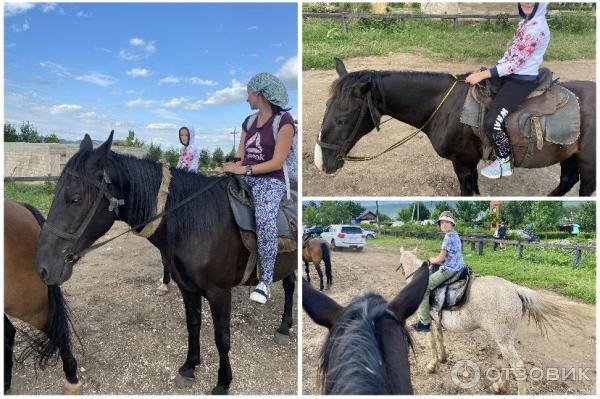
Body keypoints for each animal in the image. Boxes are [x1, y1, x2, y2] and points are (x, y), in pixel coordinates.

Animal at [34, 133, 296, 396]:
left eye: (75, 198)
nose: (42, 267)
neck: (197, 222)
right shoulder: (187, 287)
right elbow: (193, 324)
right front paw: (189, 366)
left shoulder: (219, 292)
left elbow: (222, 338)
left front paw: (223, 382)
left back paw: (284, 327)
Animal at [314, 59, 596, 197]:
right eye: (325, 108)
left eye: (342, 119)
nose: (321, 162)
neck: (446, 106)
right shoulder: (467, 166)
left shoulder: (463, 164)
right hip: (567, 153)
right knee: (566, 181)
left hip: (587, 162)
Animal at [398, 248, 564, 396]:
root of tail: (515, 290)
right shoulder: (437, 321)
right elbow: (439, 338)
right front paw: (442, 358)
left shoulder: (427, 321)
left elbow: (431, 342)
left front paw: (432, 365)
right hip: (505, 339)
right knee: (508, 361)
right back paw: (499, 386)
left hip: (503, 340)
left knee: (517, 366)